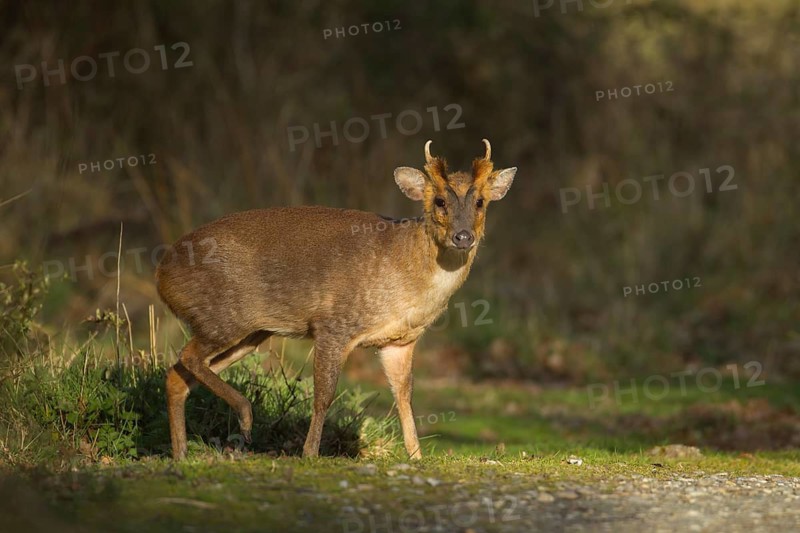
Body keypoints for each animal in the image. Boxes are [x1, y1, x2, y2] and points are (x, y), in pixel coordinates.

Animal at [156, 139, 516, 460]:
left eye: (480, 202)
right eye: (440, 201)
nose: (463, 236)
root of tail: (162, 274)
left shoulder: (399, 341)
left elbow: (405, 397)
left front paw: (416, 457)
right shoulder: (333, 325)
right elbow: (324, 395)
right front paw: (310, 454)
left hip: (250, 331)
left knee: (177, 375)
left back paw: (181, 454)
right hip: (222, 317)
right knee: (187, 357)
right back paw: (244, 418)